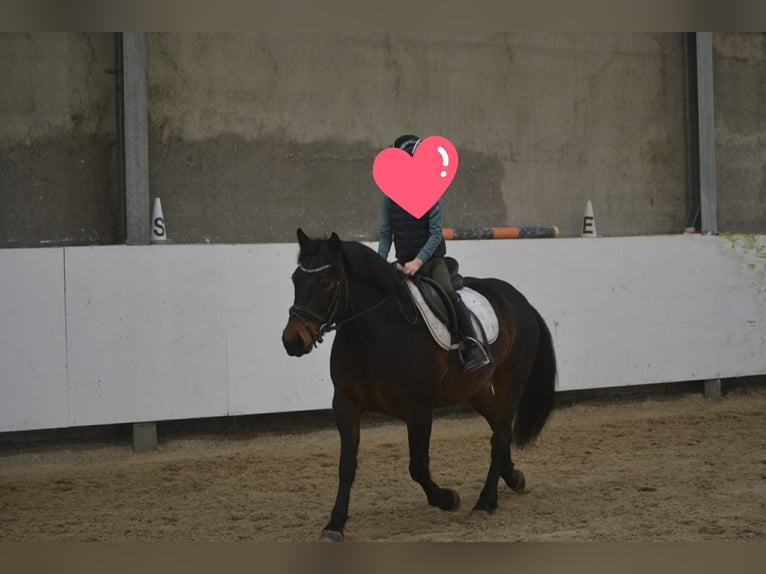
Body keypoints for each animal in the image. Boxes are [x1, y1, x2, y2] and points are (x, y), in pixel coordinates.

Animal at [281, 228, 557, 541]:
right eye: (295, 279)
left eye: (326, 283)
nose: (292, 341)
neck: (374, 333)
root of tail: (520, 300)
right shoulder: (345, 404)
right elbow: (346, 466)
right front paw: (335, 524)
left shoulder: (419, 410)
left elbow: (418, 467)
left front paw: (448, 499)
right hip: (476, 388)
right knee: (500, 429)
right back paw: (513, 478)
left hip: (510, 380)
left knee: (499, 435)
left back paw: (485, 502)